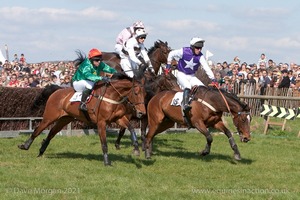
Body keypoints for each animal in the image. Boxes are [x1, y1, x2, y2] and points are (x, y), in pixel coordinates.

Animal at [17, 72, 146, 166]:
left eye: (144, 94)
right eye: (136, 93)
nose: (142, 112)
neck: (111, 96)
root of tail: (58, 90)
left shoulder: (118, 118)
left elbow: (131, 128)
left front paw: (136, 148)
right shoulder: (101, 122)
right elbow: (104, 143)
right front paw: (107, 162)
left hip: (64, 119)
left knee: (52, 133)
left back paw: (41, 150)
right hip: (49, 117)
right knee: (38, 130)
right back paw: (25, 146)